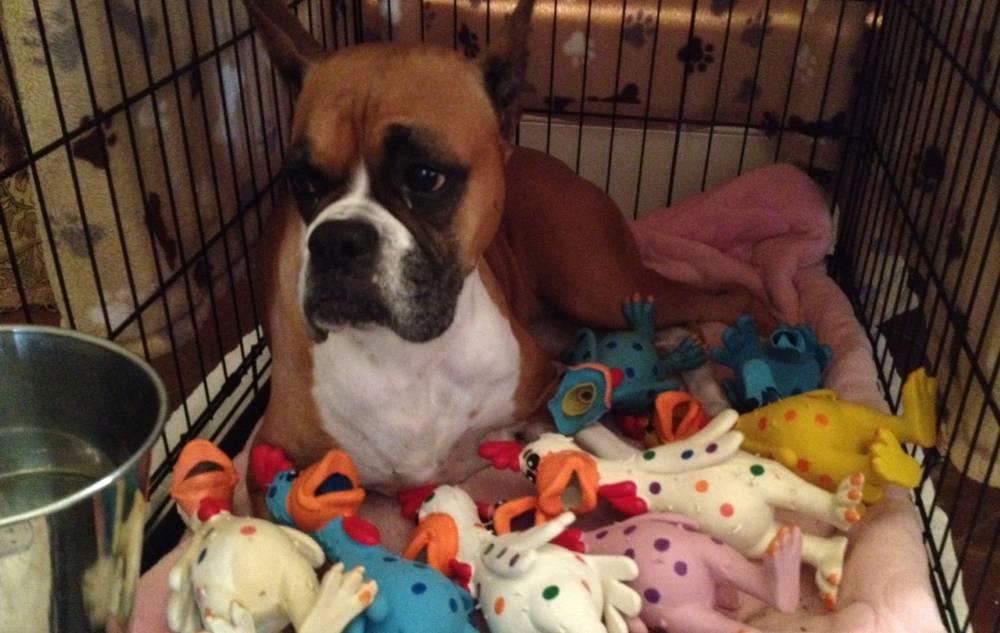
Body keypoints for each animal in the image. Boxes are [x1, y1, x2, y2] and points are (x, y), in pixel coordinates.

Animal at [243, 0, 763, 498]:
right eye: (303, 182)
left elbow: (608, 443)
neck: (407, 356)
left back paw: (717, 389)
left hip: (597, 288)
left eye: (424, 177)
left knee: (721, 301)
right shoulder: (262, 467)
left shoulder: (546, 390)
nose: (337, 239)